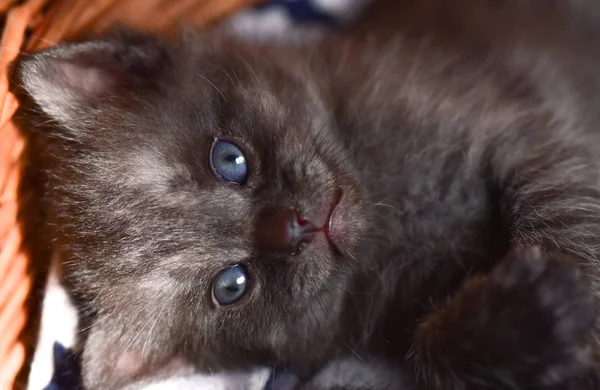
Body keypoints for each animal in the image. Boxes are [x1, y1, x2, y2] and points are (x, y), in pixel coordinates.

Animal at [10, 0, 600, 388]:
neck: (389, 215)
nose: (296, 225)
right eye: (232, 285)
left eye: (229, 160)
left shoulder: (525, 137)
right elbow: (426, 351)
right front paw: (526, 320)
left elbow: (560, 218)